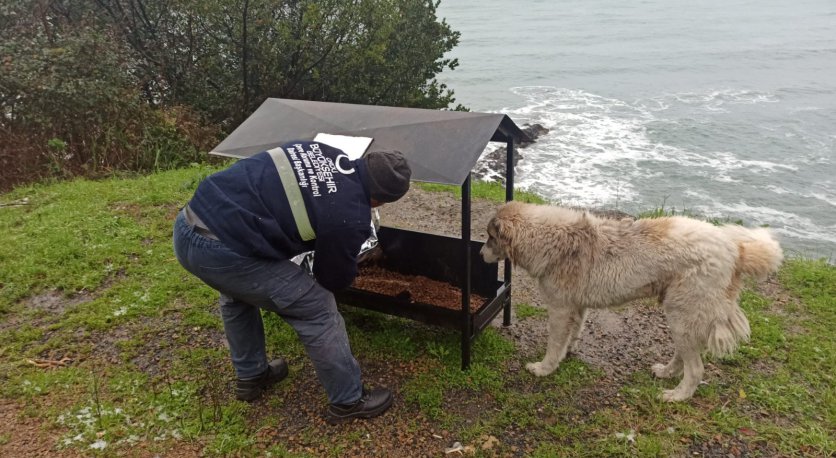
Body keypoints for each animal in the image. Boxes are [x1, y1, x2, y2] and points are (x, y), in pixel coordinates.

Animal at [480, 203, 780, 400]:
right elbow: (572, 335)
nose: (481, 253)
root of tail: (736, 248)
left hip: (681, 314)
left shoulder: (560, 309)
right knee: (685, 356)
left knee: (695, 369)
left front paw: (544, 369)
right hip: (683, 316)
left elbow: (554, 344)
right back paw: (666, 372)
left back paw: (676, 396)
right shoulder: (577, 307)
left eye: (490, 237)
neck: (553, 239)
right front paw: (566, 355)